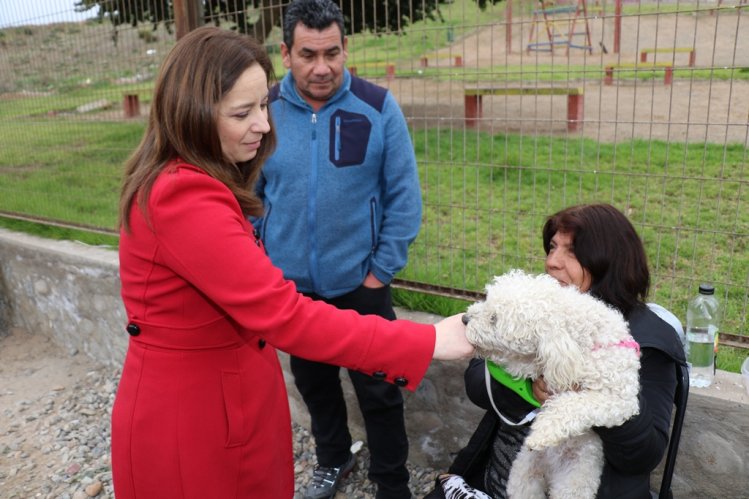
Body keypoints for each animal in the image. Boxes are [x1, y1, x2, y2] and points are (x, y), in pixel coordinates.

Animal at [464, 272, 640, 498]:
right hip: (524, 474)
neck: (583, 342)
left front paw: (542, 433)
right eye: (486, 299)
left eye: (494, 319)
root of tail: (550, 470)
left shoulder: (619, 399)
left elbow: (571, 404)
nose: (464, 319)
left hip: (573, 482)